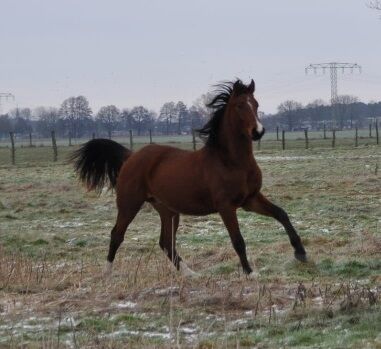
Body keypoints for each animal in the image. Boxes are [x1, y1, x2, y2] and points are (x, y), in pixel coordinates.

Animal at [70, 79, 306, 278]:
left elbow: (282, 214)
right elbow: (238, 240)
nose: (258, 131)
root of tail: (131, 156)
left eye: (256, 104)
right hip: (130, 203)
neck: (230, 161)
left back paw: (190, 274)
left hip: (168, 210)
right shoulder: (226, 206)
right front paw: (250, 273)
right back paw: (107, 273)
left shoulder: (250, 199)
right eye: (240, 105)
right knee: (117, 234)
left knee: (166, 242)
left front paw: (301, 254)